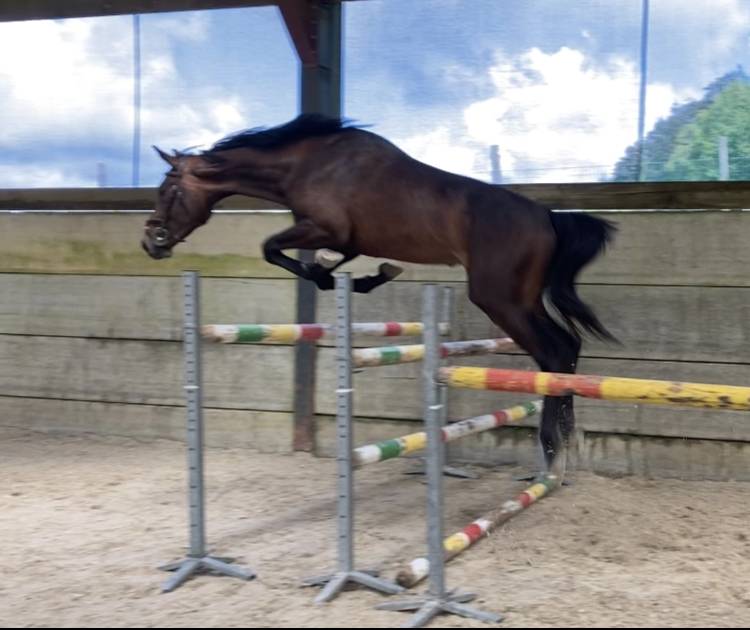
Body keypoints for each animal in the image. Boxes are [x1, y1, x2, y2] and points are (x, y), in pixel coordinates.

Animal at [142, 114, 616, 477]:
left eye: (167, 189)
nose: (152, 242)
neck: (304, 164)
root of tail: (547, 216)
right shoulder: (348, 241)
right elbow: (319, 264)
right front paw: (369, 275)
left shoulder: (326, 229)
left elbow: (275, 251)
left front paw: (348, 275)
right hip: (524, 299)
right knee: (568, 346)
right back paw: (568, 440)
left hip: (500, 300)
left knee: (554, 352)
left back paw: (553, 446)